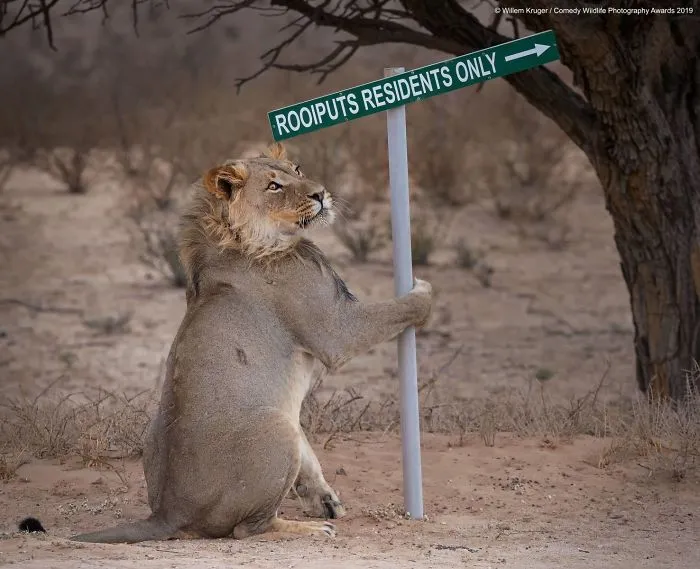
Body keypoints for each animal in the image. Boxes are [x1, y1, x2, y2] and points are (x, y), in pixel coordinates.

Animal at [70, 143, 433, 543]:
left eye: (297, 169)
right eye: (274, 186)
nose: (321, 193)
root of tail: (167, 513)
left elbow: (310, 458)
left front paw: (324, 498)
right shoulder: (337, 329)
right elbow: (401, 308)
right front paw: (424, 289)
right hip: (276, 428)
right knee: (249, 528)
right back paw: (310, 529)